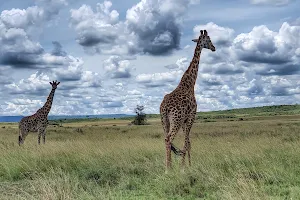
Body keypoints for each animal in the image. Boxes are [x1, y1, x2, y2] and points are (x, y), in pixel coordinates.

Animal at [159, 29, 216, 172]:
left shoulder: (185, 120)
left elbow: (188, 142)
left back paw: (167, 166)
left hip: (164, 120)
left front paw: (188, 165)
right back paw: (168, 169)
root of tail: (165, 107)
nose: (214, 47)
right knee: (169, 139)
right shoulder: (191, 116)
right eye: (209, 39)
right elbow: (186, 142)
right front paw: (183, 168)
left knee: (166, 138)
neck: (190, 84)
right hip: (176, 120)